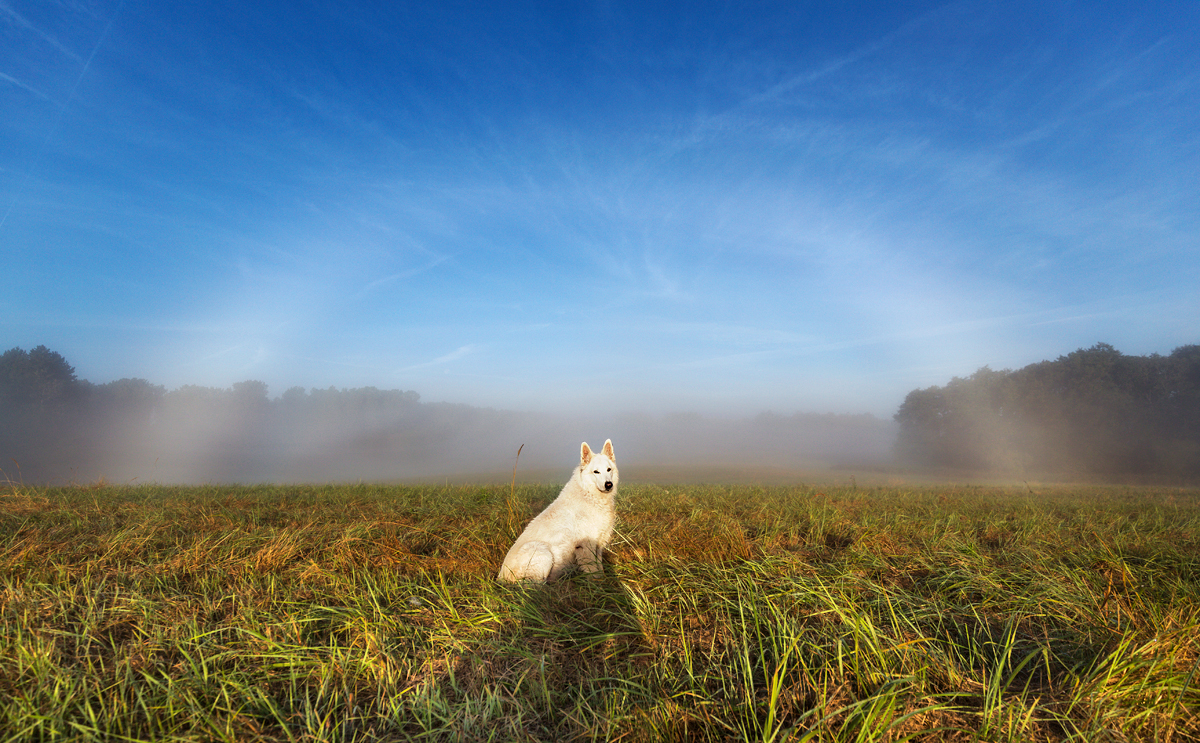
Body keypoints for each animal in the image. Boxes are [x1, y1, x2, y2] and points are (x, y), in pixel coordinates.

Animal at [496, 439, 619, 583]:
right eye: (596, 472)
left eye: (608, 470)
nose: (609, 484)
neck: (589, 494)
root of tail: (501, 577)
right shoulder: (586, 545)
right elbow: (593, 571)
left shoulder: (599, 542)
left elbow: (600, 568)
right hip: (543, 553)